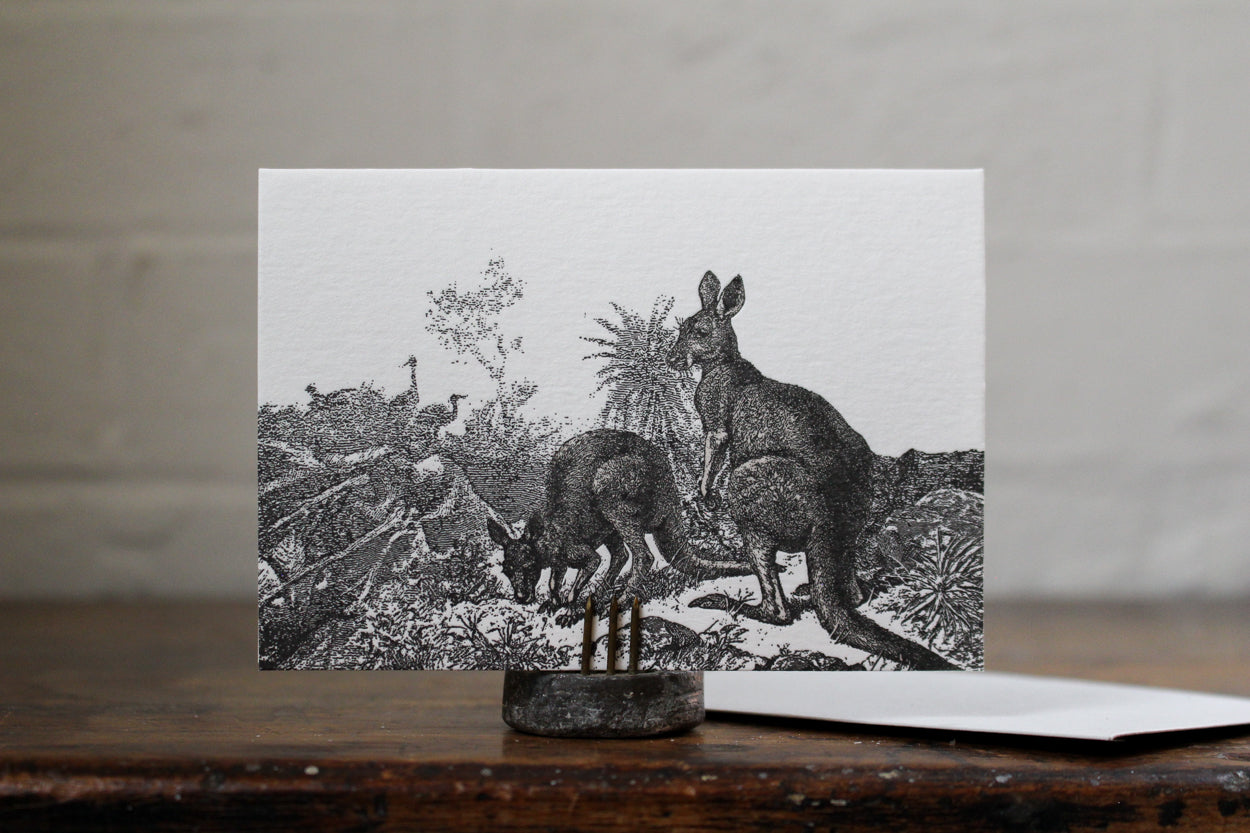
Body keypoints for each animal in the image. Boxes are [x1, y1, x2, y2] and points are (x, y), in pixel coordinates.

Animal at [487, 428, 749, 616]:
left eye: (530, 567)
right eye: (506, 570)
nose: (521, 598)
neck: (547, 534)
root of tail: (669, 490)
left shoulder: (573, 548)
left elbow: (592, 561)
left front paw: (569, 607)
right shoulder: (558, 559)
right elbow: (554, 580)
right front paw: (553, 602)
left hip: (613, 484)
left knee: (643, 555)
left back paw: (619, 600)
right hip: (608, 522)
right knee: (621, 554)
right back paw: (599, 596)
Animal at [668, 271, 957, 670]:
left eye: (698, 331)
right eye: (682, 329)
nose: (670, 358)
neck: (724, 364)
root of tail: (829, 517)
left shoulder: (715, 418)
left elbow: (715, 447)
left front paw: (703, 493)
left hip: (750, 486)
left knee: (778, 610)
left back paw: (732, 604)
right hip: (857, 512)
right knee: (852, 592)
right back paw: (822, 589)